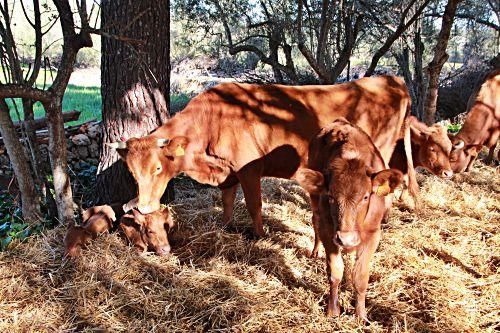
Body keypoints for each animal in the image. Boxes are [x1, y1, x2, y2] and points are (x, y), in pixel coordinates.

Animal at [108, 75, 418, 253]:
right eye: (132, 171)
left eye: (158, 168)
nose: (144, 206)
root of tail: (391, 78)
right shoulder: (228, 173)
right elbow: (228, 201)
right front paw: (226, 226)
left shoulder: (248, 169)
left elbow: (254, 205)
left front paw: (259, 235)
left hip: (381, 150)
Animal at [296, 119, 402, 320]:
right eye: (330, 196)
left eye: (366, 197)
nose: (346, 239)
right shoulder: (329, 231)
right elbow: (335, 271)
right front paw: (333, 310)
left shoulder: (373, 234)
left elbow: (360, 277)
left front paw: (361, 315)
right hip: (314, 201)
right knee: (315, 220)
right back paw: (315, 251)